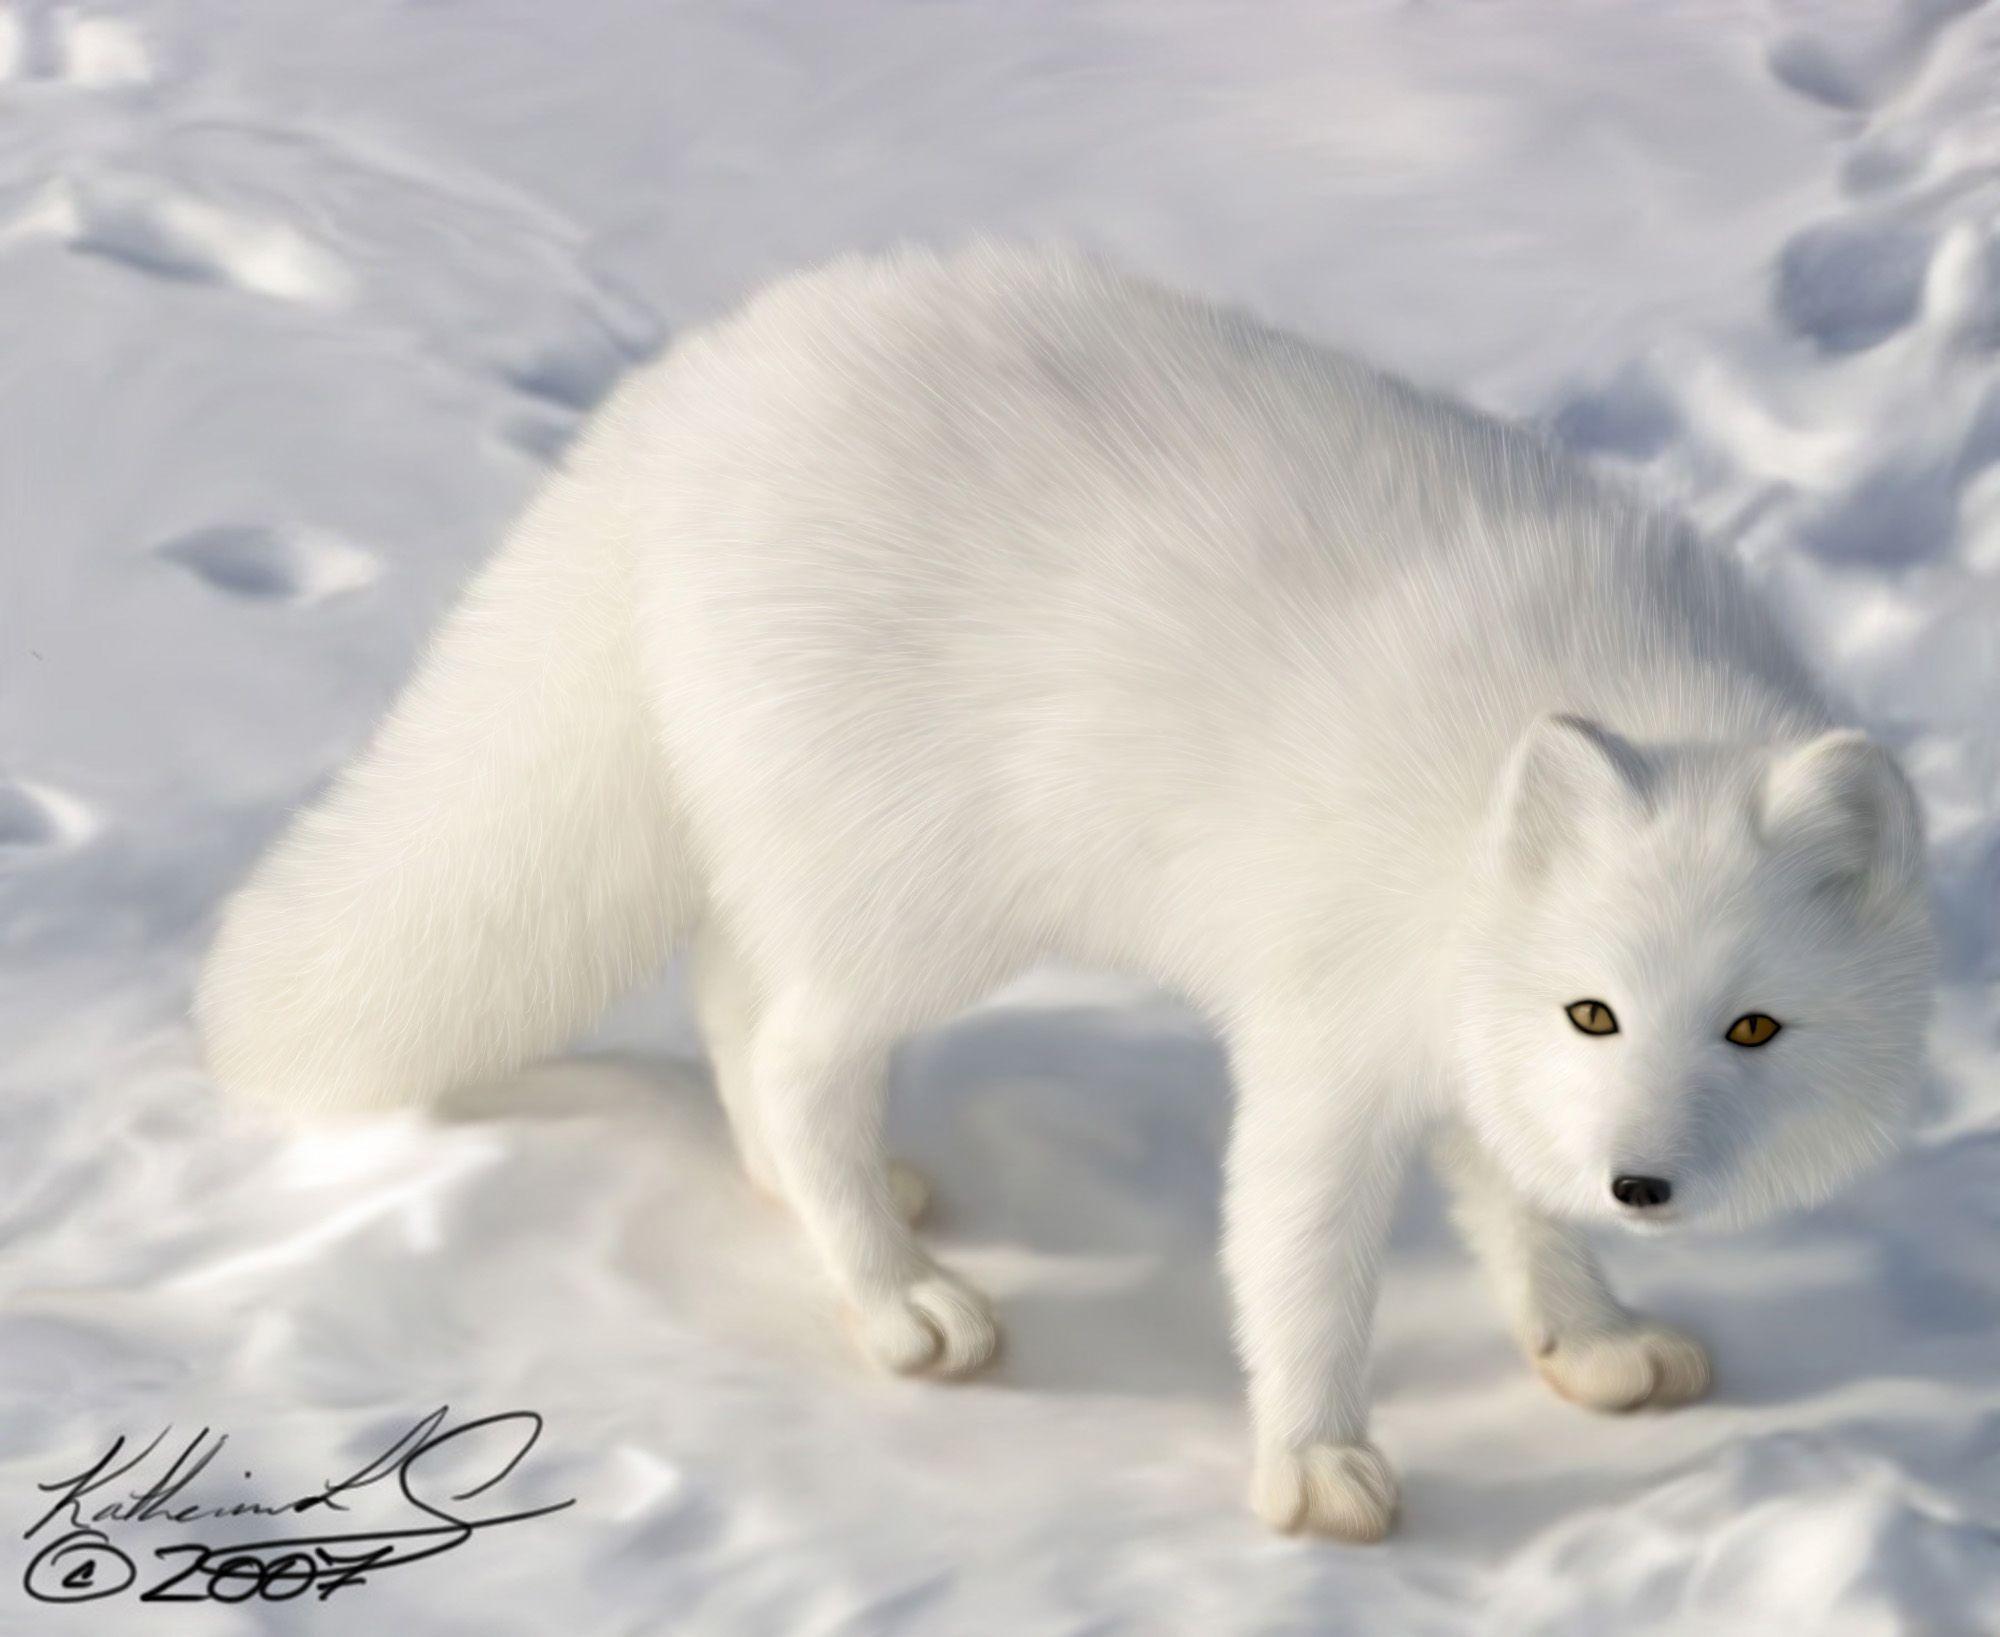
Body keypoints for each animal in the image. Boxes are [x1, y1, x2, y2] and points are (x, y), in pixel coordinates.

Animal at [197, 243, 1936, 1541]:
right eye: (1597, 1010)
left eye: (1754, 1027)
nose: (1643, 1181)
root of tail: (688, 391)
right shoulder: (1327, 1039)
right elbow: (1303, 1268)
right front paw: (1313, 1463)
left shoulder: (1456, 1038)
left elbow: (1517, 1211)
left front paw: (1590, 1336)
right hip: (929, 898)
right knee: (792, 1049)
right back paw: (897, 1301)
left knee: (738, 1001)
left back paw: (821, 1206)